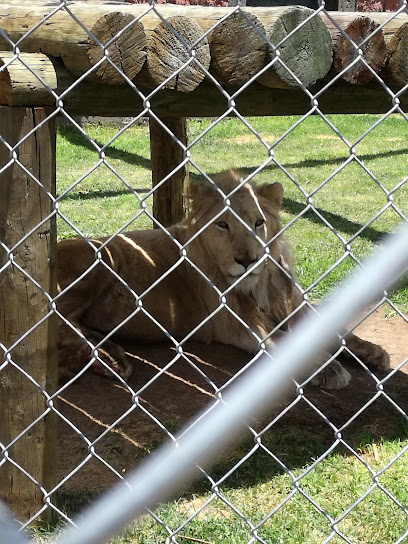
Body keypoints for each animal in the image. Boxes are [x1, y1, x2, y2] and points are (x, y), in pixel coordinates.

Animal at [56, 170, 388, 386]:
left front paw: (373, 351)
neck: (261, 285)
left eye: (259, 223)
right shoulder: (242, 327)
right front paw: (330, 370)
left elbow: (337, 331)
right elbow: (287, 343)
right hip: (100, 256)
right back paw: (110, 360)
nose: (247, 260)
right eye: (223, 225)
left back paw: (110, 357)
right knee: (60, 323)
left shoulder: (293, 306)